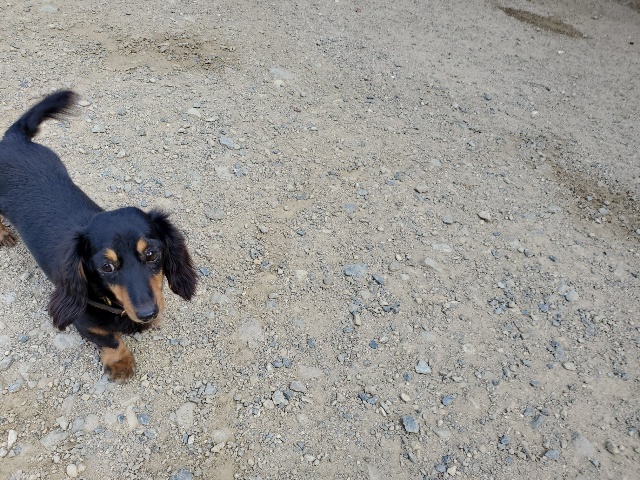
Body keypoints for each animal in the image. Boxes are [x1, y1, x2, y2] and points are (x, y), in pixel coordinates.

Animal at [0, 91, 197, 382]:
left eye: (151, 253)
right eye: (106, 267)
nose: (147, 314)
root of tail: (14, 138)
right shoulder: (84, 320)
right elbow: (110, 338)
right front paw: (120, 363)